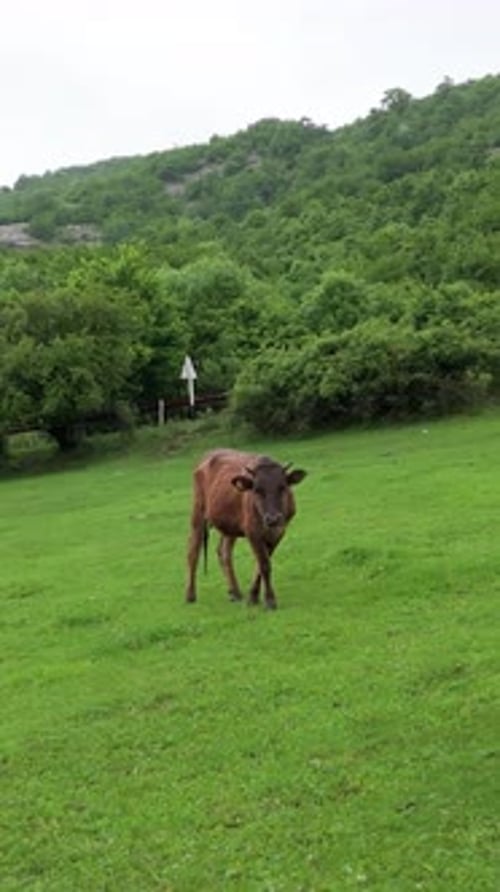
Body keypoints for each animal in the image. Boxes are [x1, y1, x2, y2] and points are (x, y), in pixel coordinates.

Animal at [185, 448, 306, 609]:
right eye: (257, 490)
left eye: (283, 487)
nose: (273, 518)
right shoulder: (253, 532)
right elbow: (264, 564)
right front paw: (270, 600)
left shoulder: (279, 532)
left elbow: (260, 564)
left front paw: (253, 596)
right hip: (198, 512)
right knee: (193, 552)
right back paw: (190, 595)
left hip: (229, 526)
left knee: (224, 552)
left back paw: (235, 592)